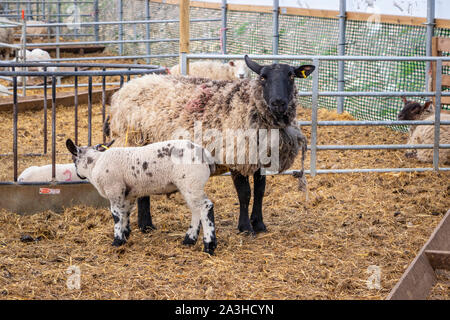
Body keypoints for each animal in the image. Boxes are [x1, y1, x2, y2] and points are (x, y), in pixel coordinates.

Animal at [66, 139, 219, 254]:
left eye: (74, 159)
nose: (77, 174)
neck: (95, 163)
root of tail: (205, 154)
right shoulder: (128, 195)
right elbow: (125, 214)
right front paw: (125, 235)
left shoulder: (114, 190)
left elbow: (116, 215)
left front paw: (117, 241)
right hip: (190, 186)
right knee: (196, 210)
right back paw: (189, 240)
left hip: (191, 183)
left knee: (206, 207)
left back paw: (209, 245)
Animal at [107, 55, 314, 235]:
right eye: (263, 77)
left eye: (291, 76)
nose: (278, 102)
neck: (248, 104)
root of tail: (129, 86)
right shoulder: (236, 155)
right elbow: (245, 193)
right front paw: (246, 228)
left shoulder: (259, 158)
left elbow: (260, 191)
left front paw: (260, 224)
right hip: (134, 141)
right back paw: (145, 225)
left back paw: (146, 225)